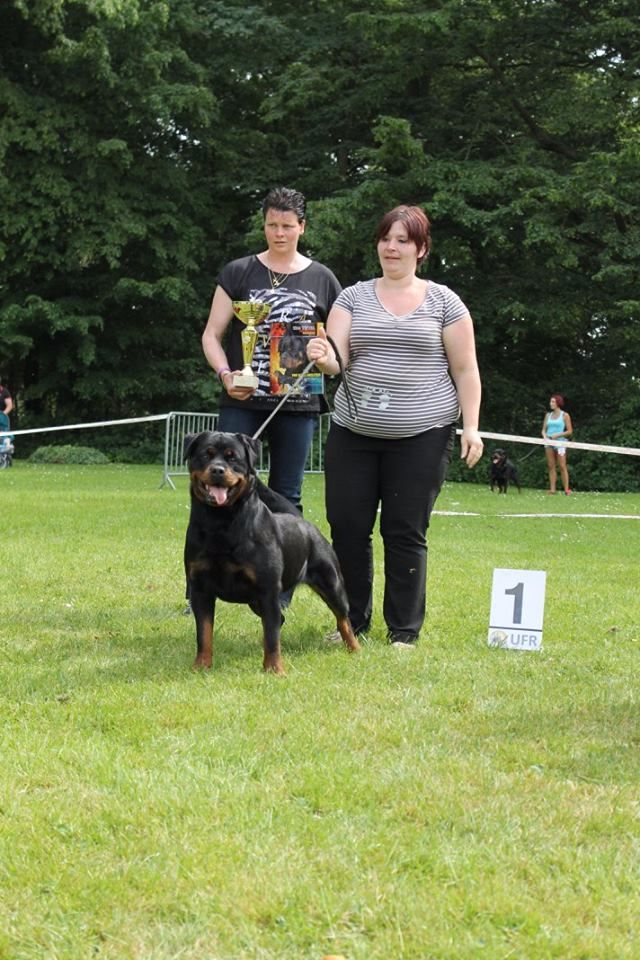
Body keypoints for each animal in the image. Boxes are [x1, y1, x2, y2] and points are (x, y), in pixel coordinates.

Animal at [183, 430, 360, 673]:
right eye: (205, 455)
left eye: (232, 457)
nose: (217, 470)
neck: (221, 522)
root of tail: (304, 523)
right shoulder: (200, 589)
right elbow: (204, 633)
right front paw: (201, 666)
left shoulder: (267, 590)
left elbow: (272, 636)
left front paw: (275, 670)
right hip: (255, 601)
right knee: (278, 622)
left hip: (331, 583)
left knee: (343, 619)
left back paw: (355, 649)